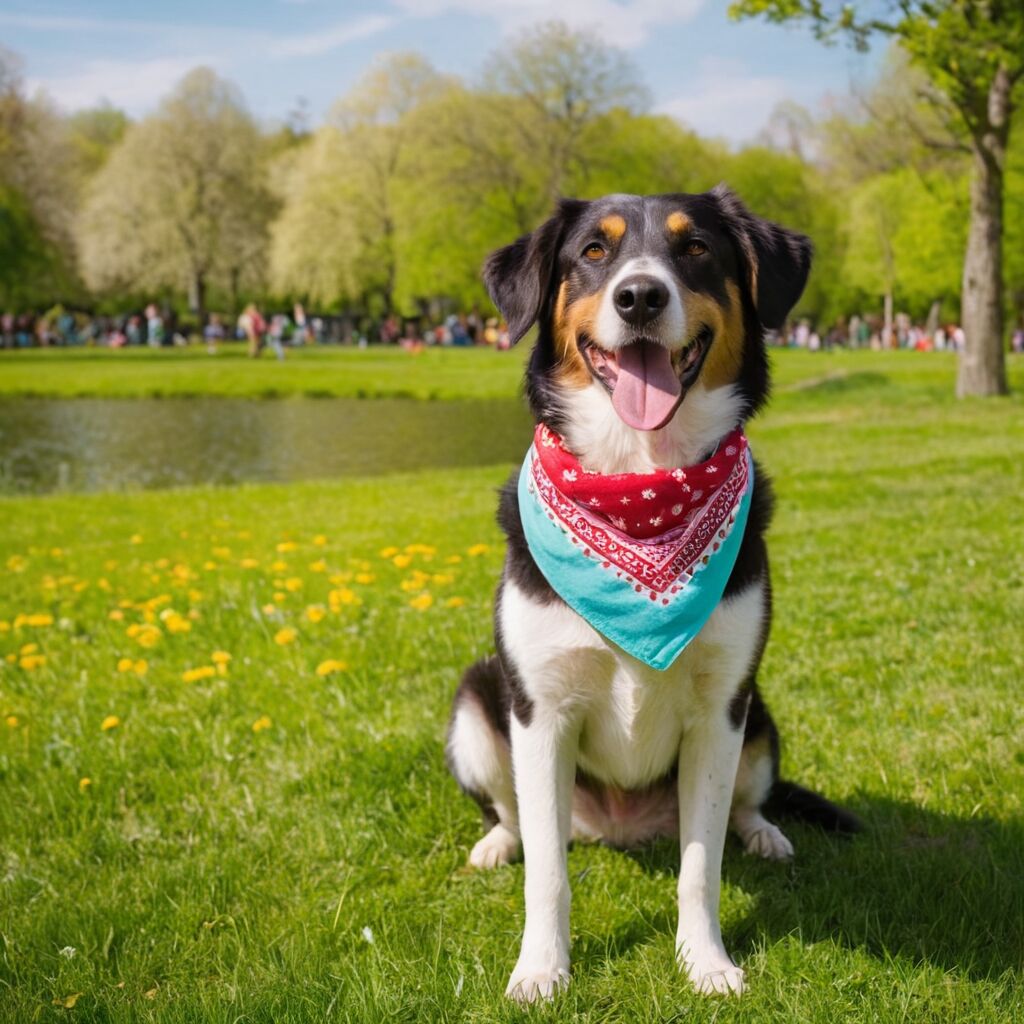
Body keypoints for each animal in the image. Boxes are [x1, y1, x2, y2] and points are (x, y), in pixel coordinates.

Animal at [446, 188, 856, 1003]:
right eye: (593, 252)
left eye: (695, 247)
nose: (639, 296)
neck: (640, 482)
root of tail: (623, 830)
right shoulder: (540, 709)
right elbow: (549, 875)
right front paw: (541, 968)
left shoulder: (720, 707)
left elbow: (701, 867)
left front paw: (707, 961)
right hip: (479, 705)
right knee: (518, 816)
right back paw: (497, 843)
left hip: (759, 716)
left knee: (746, 803)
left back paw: (764, 832)